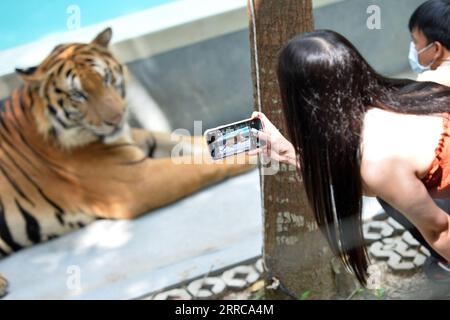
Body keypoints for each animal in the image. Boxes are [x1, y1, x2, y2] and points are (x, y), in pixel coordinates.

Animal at [0, 28, 255, 298]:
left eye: (106, 79)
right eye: (78, 95)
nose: (116, 119)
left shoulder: (144, 141)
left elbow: (191, 144)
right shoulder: (136, 181)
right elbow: (201, 165)